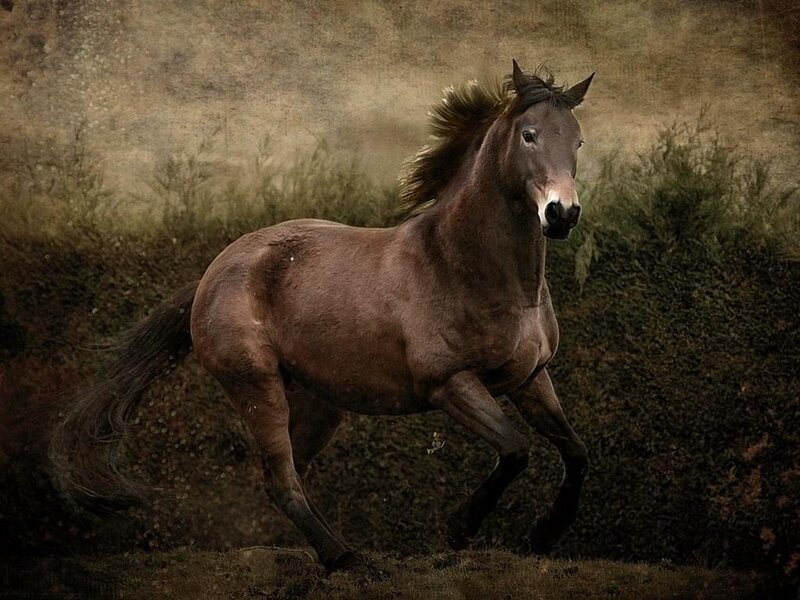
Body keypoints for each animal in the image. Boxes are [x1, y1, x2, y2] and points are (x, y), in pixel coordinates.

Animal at [50, 60, 594, 572]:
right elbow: (516, 449)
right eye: (529, 135)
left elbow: (576, 452)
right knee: (281, 478)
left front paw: (543, 536)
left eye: (579, 142)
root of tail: (211, 273)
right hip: (256, 386)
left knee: (287, 473)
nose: (562, 214)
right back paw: (343, 557)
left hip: (317, 403)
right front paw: (460, 529)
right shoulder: (450, 383)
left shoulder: (531, 378)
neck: (466, 266)